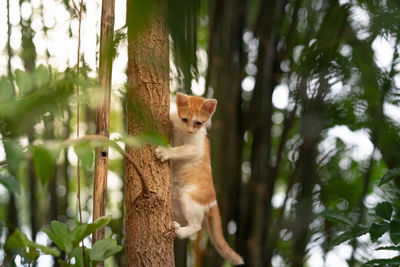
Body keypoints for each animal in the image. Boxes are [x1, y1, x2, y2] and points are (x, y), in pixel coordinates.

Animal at [155, 92, 244, 266]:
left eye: (198, 123)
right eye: (184, 119)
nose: (190, 131)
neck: (183, 132)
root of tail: (213, 200)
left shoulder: (196, 147)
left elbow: (180, 150)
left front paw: (166, 152)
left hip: (189, 196)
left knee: (196, 226)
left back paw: (179, 231)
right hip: (175, 196)